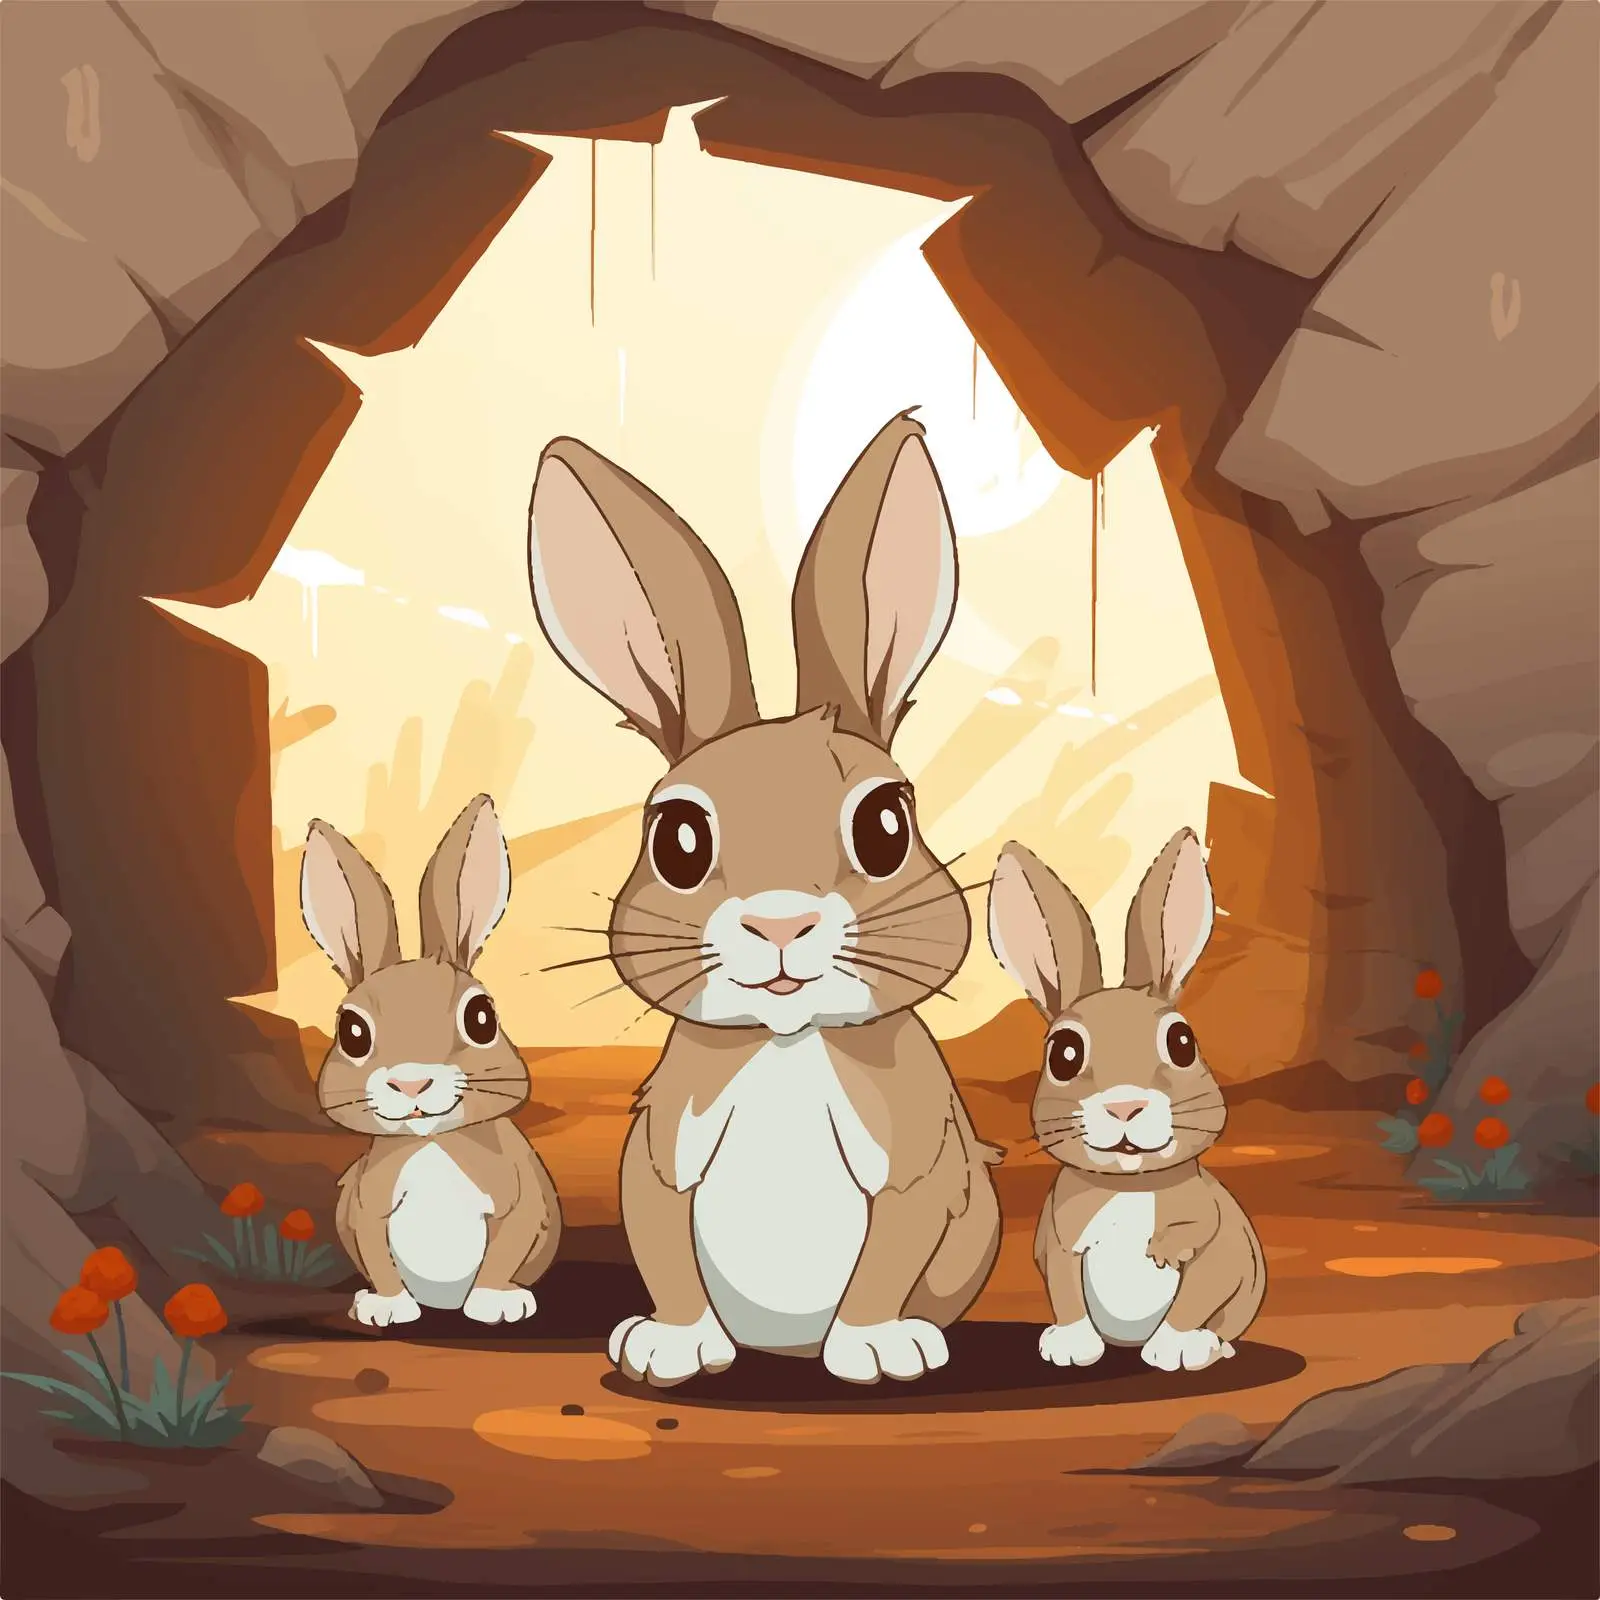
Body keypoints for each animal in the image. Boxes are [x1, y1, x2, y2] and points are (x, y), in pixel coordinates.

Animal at [300, 793, 562, 1328]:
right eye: (351, 1032)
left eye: (482, 1018)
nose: (411, 1083)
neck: (430, 1142)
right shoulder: (366, 1209)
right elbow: (378, 1257)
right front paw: (385, 1309)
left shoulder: (518, 1202)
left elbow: (506, 1248)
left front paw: (495, 1303)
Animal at [525, 411, 1001, 1386]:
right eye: (677, 839)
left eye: (887, 826)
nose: (780, 922)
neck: (788, 1043)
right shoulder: (661, 1151)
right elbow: (661, 1239)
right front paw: (667, 1348)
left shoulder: (916, 1166)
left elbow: (889, 1254)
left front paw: (877, 1349)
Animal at [986, 829, 1265, 1373]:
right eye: (1064, 1053)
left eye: (1182, 1042)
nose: (1124, 1107)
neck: (1130, 1187)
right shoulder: (1061, 1244)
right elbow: (1066, 1295)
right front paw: (1071, 1348)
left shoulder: (1216, 1245)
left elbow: (1196, 1295)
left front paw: (1175, 1348)